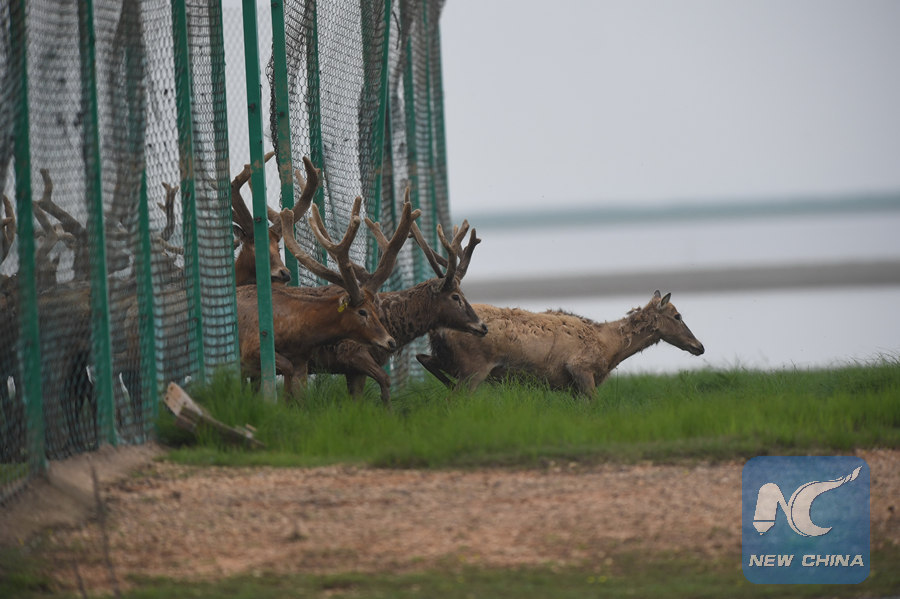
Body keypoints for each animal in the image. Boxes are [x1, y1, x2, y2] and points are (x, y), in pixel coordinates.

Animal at [236, 195, 397, 398]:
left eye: (376, 309)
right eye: (362, 312)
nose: (391, 341)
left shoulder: (301, 361)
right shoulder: (252, 348)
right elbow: (284, 373)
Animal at [304, 204, 487, 407]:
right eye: (456, 296)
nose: (483, 326)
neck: (390, 324)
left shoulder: (354, 369)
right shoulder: (351, 351)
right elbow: (385, 379)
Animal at [417, 290, 705, 396]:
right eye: (677, 316)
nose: (699, 347)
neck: (609, 348)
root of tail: (437, 330)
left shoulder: (572, 386)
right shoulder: (580, 368)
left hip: (451, 360)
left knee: (424, 359)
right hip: (474, 367)